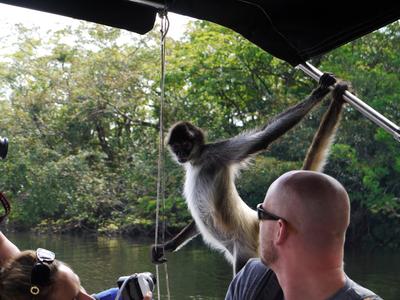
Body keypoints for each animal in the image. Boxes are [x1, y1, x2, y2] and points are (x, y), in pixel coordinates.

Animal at [152, 73, 348, 274]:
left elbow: (263, 138)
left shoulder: (218, 153)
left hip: (245, 251)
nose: (180, 154)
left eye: (186, 144)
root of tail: (256, 222)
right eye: (176, 147)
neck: (198, 160)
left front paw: (319, 92)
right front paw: (168, 246)